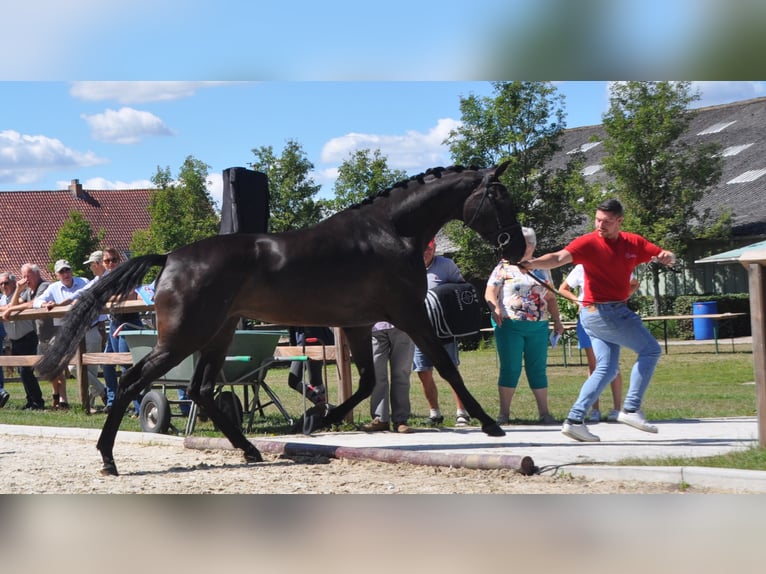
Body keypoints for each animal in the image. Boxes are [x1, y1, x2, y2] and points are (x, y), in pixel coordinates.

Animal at [36, 162, 528, 476]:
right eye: (499, 199)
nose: (519, 248)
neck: (390, 231)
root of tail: (171, 256)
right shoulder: (407, 315)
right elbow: (444, 367)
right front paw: (491, 424)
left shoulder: (359, 323)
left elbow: (367, 382)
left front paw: (317, 420)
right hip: (183, 339)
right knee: (136, 381)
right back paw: (108, 458)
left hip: (218, 334)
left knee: (201, 390)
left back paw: (249, 449)